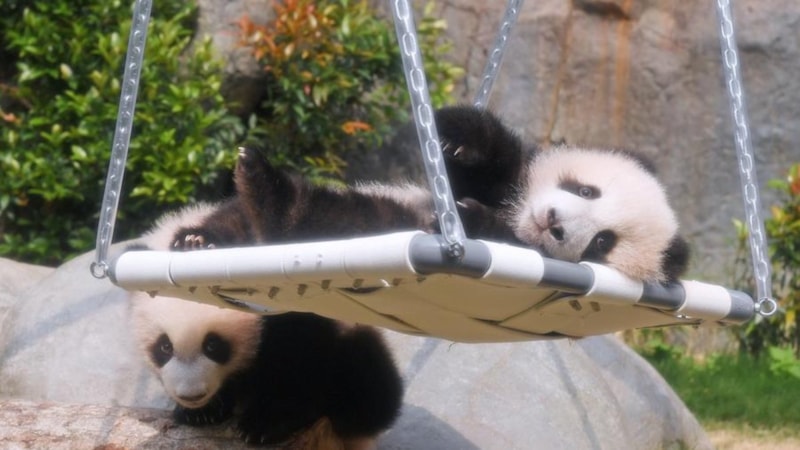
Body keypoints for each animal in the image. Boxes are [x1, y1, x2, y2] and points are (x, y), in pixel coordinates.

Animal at [130, 205, 404, 448]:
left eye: (213, 345)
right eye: (164, 347)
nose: (192, 395)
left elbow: (301, 359)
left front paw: (267, 422)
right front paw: (202, 411)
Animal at [435, 105, 689, 283]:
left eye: (602, 241)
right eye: (586, 191)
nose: (553, 222)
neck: (514, 213)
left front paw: (469, 215)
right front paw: (459, 141)